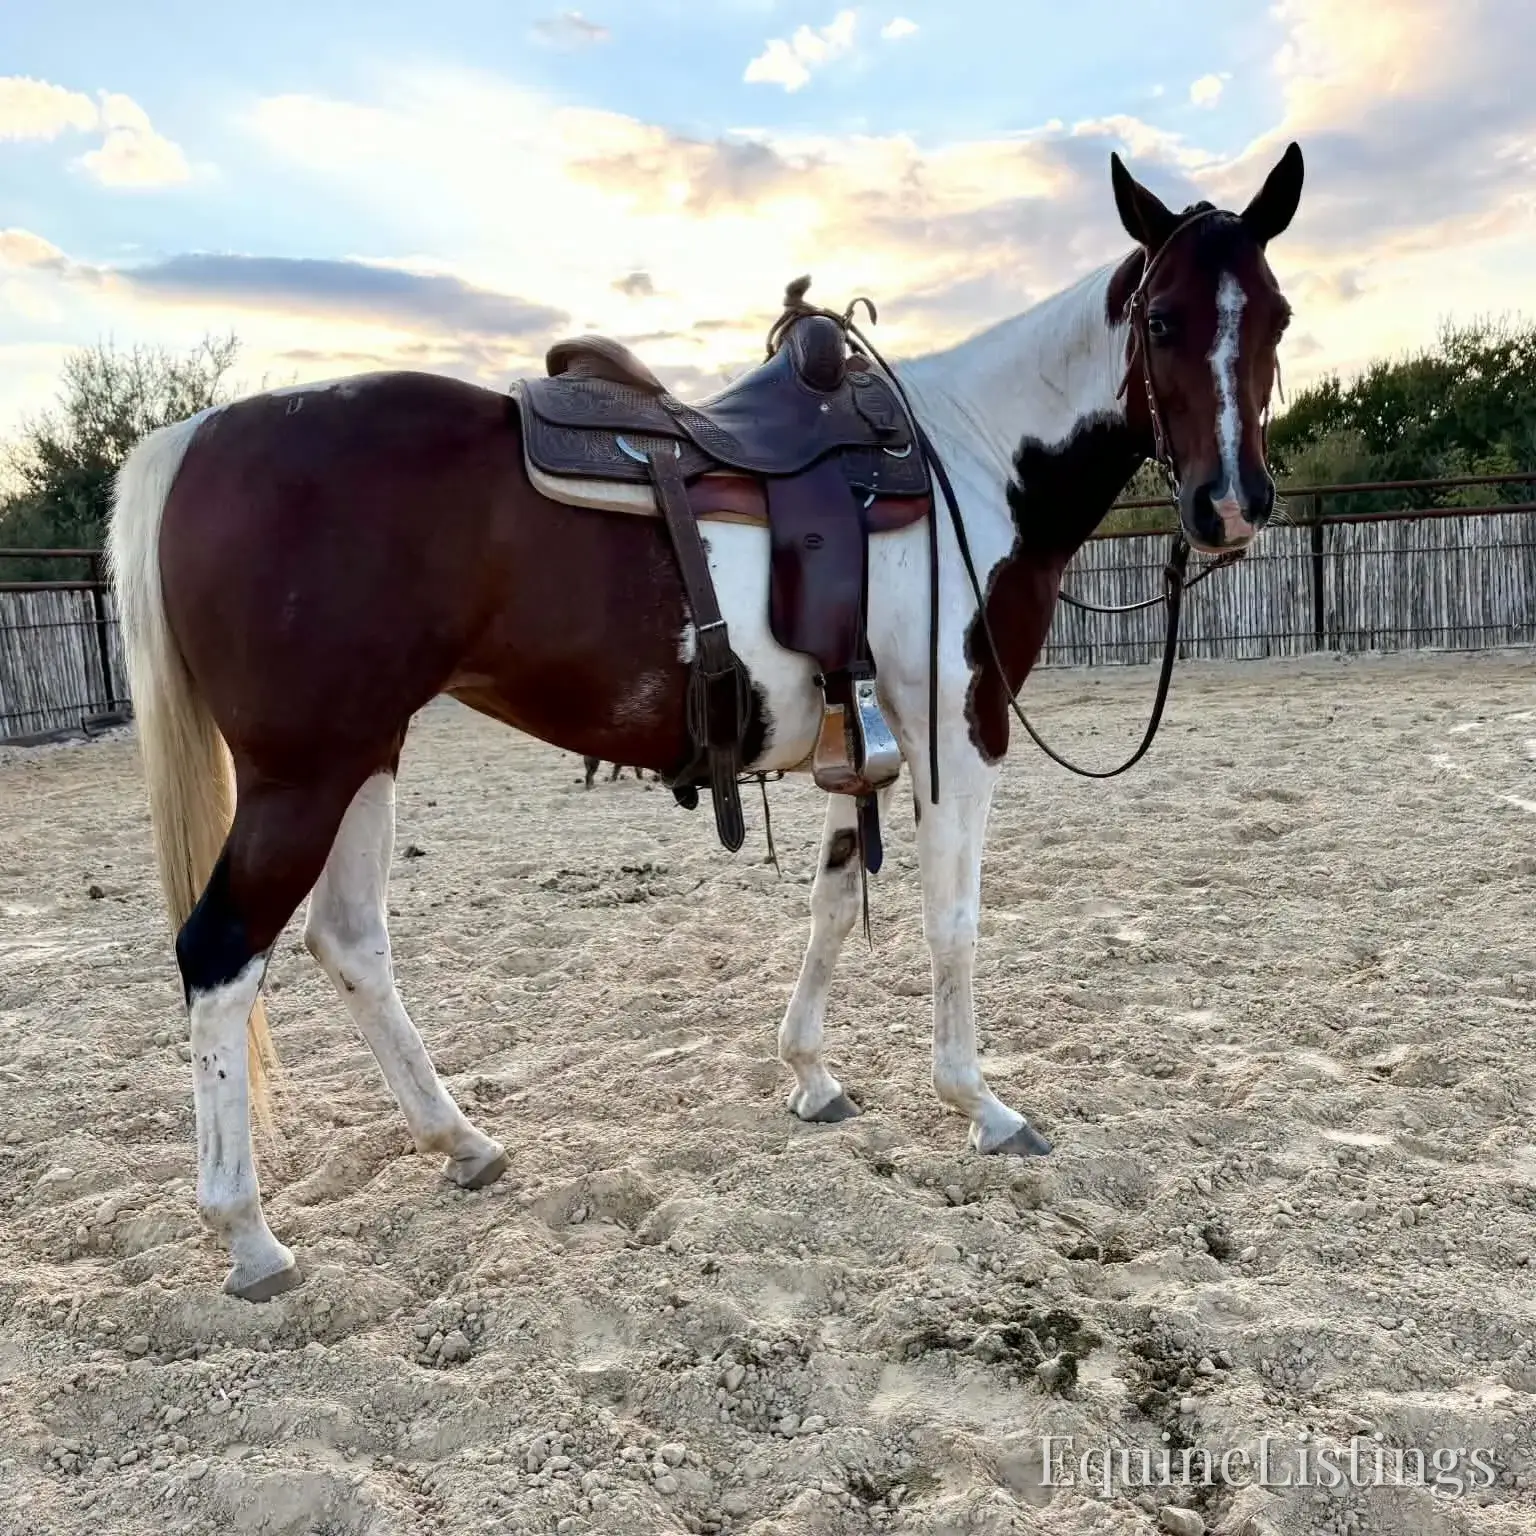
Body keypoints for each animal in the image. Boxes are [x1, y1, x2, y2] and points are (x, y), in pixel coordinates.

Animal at [107, 143, 1304, 1300]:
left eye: (1278, 316)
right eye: (1162, 320)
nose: (1231, 507)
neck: (970, 463)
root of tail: (196, 437)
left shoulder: (862, 735)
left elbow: (834, 903)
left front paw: (812, 1075)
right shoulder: (955, 728)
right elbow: (950, 921)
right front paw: (981, 1106)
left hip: (366, 752)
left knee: (349, 941)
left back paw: (461, 1143)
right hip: (303, 772)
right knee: (221, 956)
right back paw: (249, 1237)